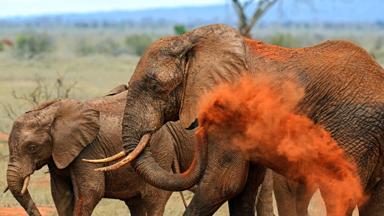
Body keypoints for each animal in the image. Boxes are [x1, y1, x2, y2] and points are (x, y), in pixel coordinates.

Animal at [5, 86, 198, 216]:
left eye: (32, 148)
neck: (52, 112)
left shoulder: (88, 149)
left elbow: (91, 191)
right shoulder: (57, 155)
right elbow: (62, 195)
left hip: (160, 151)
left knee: (153, 199)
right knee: (136, 203)